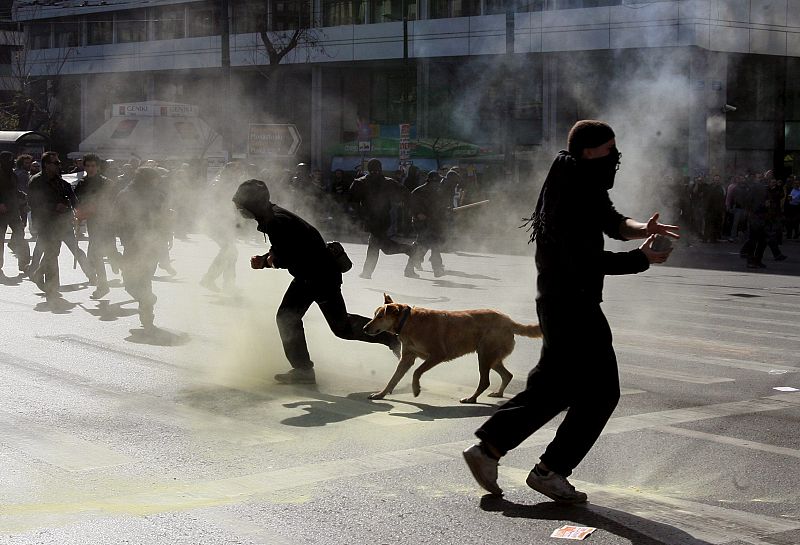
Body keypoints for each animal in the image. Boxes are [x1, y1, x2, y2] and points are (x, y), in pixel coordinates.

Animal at [364, 294, 544, 404]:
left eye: (380, 316)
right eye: (374, 315)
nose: (364, 328)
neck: (408, 321)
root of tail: (509, 321)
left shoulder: (437, 355)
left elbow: (416, 372)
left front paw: (416, 389)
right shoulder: (407, 358)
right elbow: (393, 379)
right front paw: (381, 394)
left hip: (484, 356)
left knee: (485, 381)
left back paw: (471, 398)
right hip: (491, 358)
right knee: (507, 375)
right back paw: (498, 393)